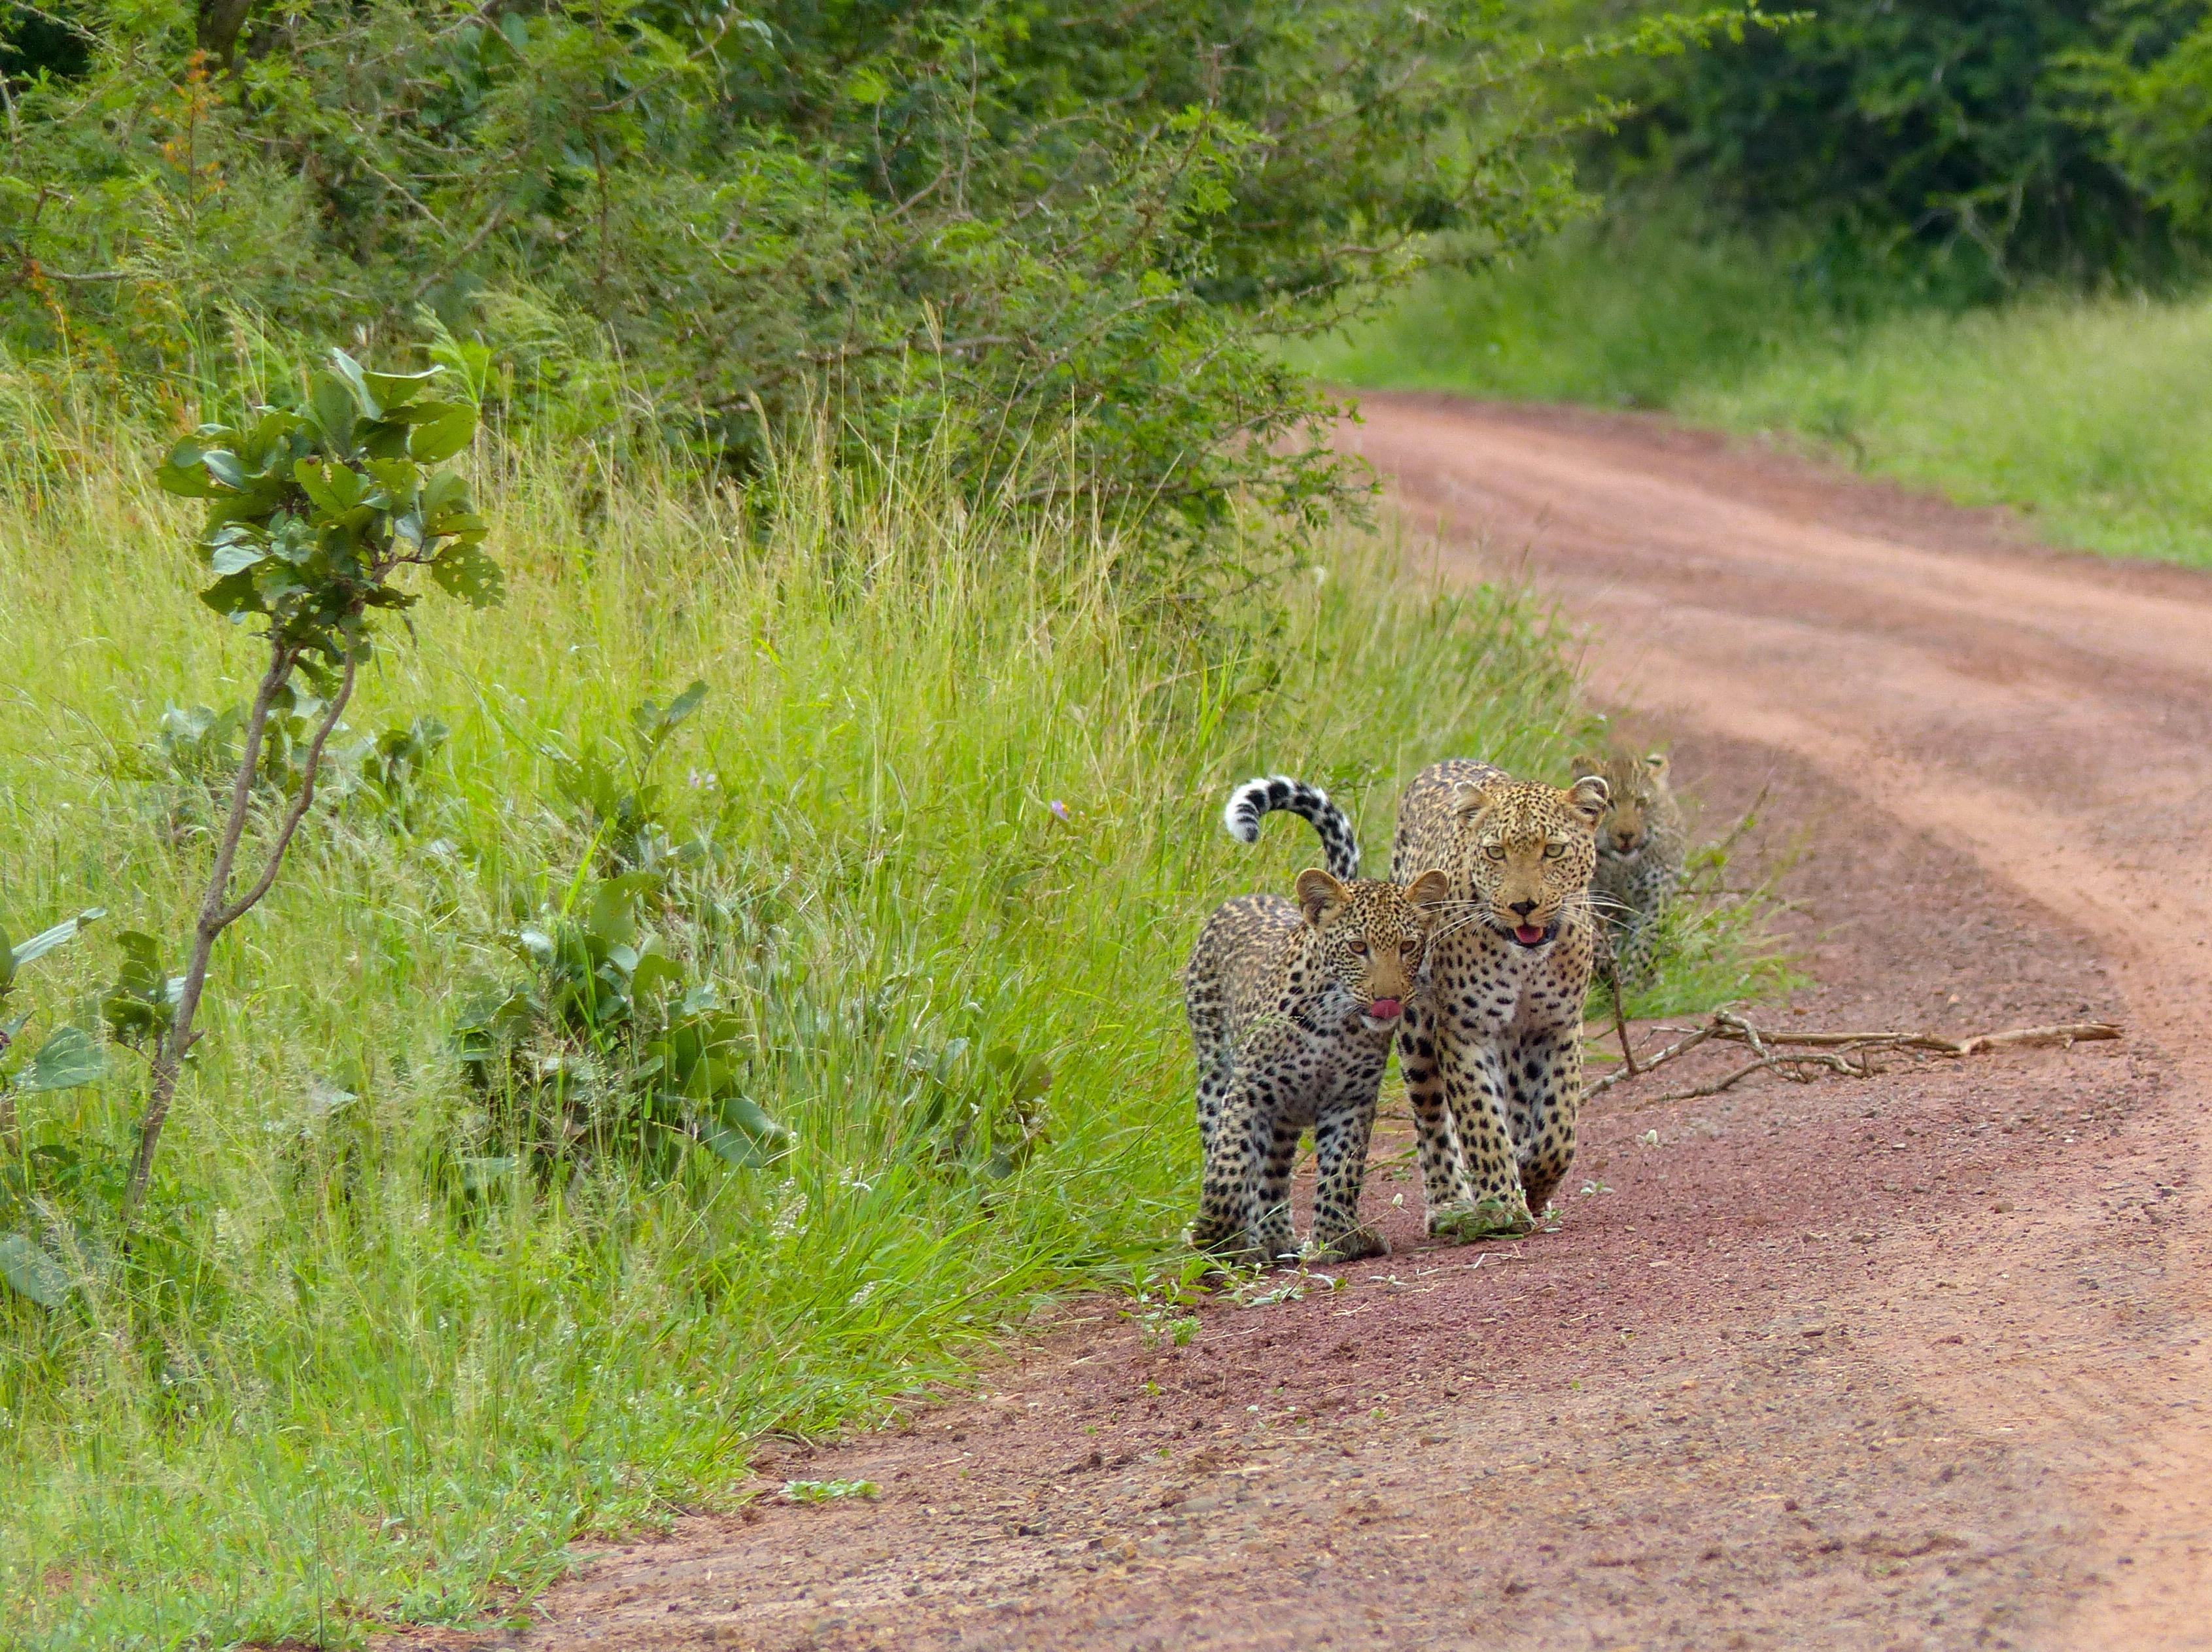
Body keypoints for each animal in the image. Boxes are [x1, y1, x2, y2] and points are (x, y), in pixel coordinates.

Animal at [1398, 761, 1610, 1238]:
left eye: (1554, 851)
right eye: (1495, 853)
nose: (1523, 905)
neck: (1526, 963)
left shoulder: (1559, 1026)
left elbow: (1558, 1128)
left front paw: (1533, 1179)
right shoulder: (1466, 1030)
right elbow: (1481, 1120)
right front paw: (1501, 1207)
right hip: (1415, 1029)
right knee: (1431, 1117)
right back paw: (1448, 1204)